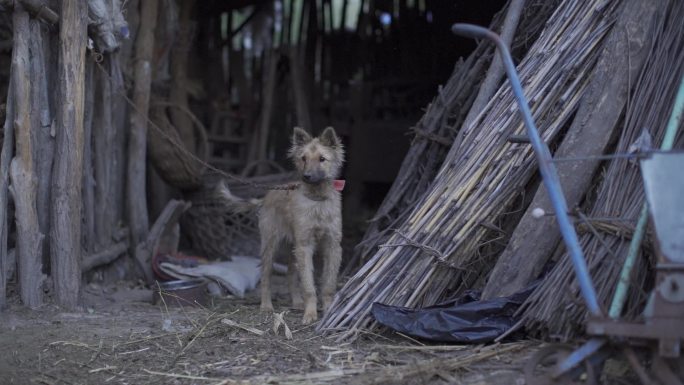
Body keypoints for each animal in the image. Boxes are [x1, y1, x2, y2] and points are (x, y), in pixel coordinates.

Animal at [220, 127, 344, 322]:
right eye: (303, 158)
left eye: (322, 159)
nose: (306, 176)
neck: (317, 201)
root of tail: (266, 197)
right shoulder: (304, 246)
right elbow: (309, 286)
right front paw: (310, 313)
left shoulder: (333, 246)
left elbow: (328, 284)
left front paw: (329, 309)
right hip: (270, 246)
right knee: (265, 278)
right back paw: (266, 306)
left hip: (292, 249)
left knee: (290, 274)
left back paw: (297, 302)